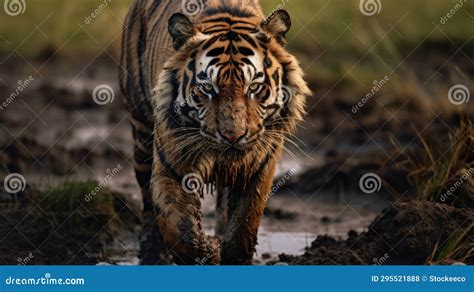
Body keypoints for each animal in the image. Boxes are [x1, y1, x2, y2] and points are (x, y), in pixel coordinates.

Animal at [118, 0, 312, 264]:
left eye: (254, 87)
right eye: (207, 88)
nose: (233, 136)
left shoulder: (261, 166)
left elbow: (244, 222)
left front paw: (230, 253)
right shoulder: (171, 164)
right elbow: (176, 224)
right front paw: (205, 251)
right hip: (141, 130)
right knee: (147, 203)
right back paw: (151, 254)